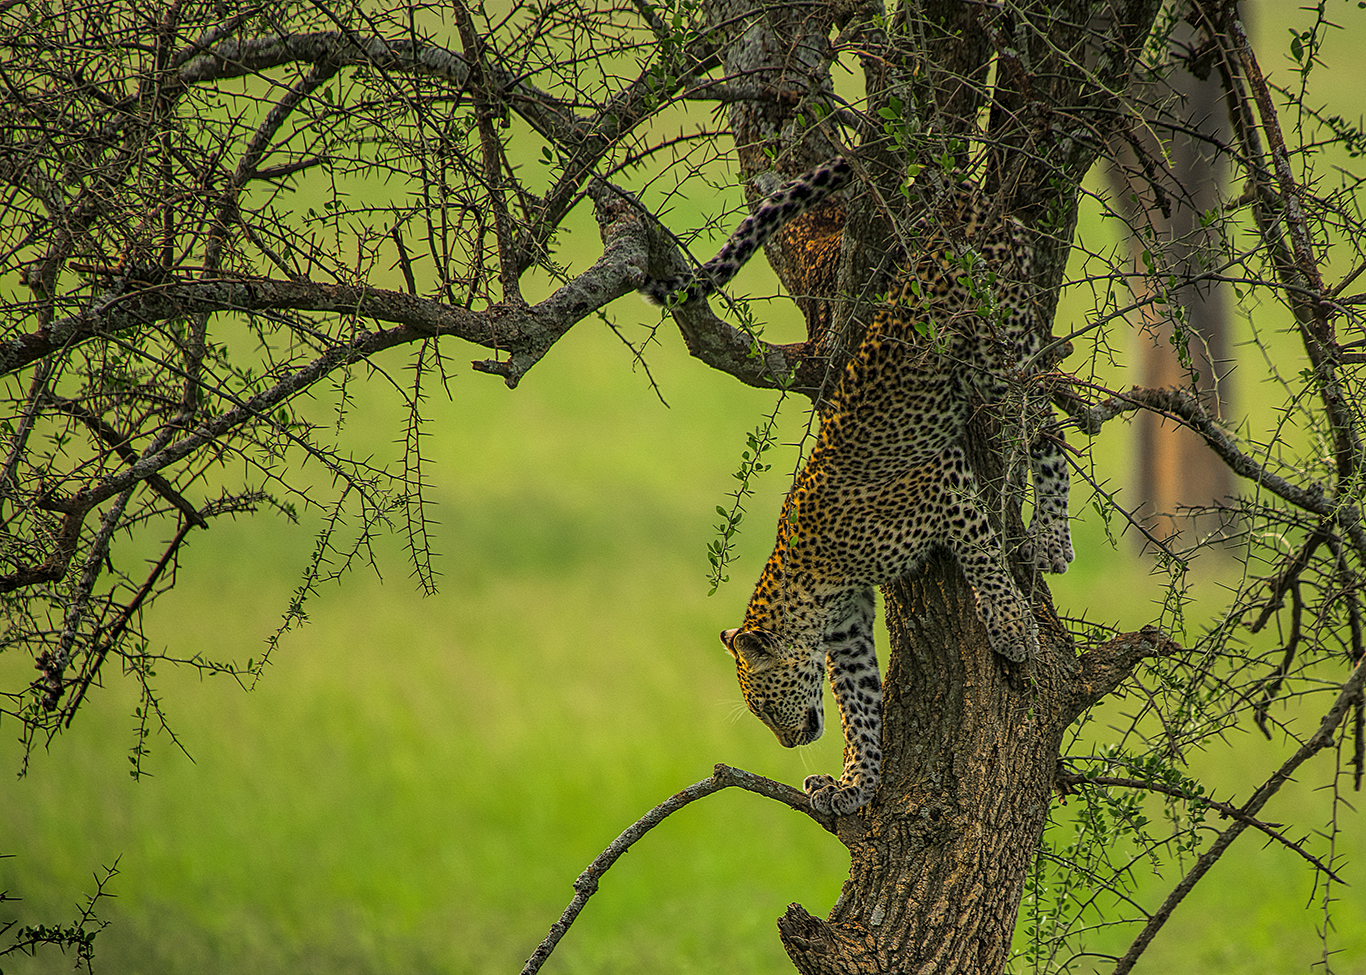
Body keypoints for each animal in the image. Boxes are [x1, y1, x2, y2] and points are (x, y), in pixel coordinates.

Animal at [641, 156, 1073, 817]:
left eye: (764, 704)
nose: (791, 741)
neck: (807, 578)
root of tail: (962, 201)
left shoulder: (942, 481)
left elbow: (981, 555)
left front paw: (1012, 627)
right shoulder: (847, 630)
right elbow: (859, 705)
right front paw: (853, 785)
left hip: (1000, 350)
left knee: (1045, 421)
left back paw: (1051, 537)